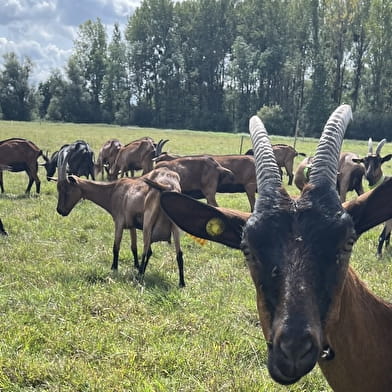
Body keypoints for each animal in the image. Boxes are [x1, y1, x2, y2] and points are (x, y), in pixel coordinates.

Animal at [54, 156, 187, 284]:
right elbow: (134, 247)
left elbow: (116, 246)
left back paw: (140, 275)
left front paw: (114, 267)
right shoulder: (132, 225)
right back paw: (181, 283)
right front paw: (135, 265)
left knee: (147, 250)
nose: (60, 210)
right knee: (179, 253)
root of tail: (168, 186)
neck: (114, 190)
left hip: (148, 223)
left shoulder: (119, 222)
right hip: (174, 226)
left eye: (66, 189)